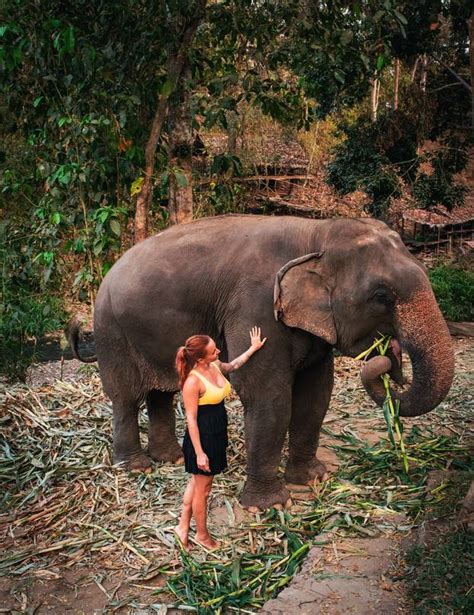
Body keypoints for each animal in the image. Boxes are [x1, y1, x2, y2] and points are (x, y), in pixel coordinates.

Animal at [67, 217, 456, 510]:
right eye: (381, 296)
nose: (389, 354)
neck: (316, 234)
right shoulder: (255, 306)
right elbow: (268, 396)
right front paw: (269, 506)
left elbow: (316, 393)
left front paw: (313, 479)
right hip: (112, 331)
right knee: (125, 396)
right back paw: (136, 467)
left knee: (161, 391)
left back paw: (172, 459)